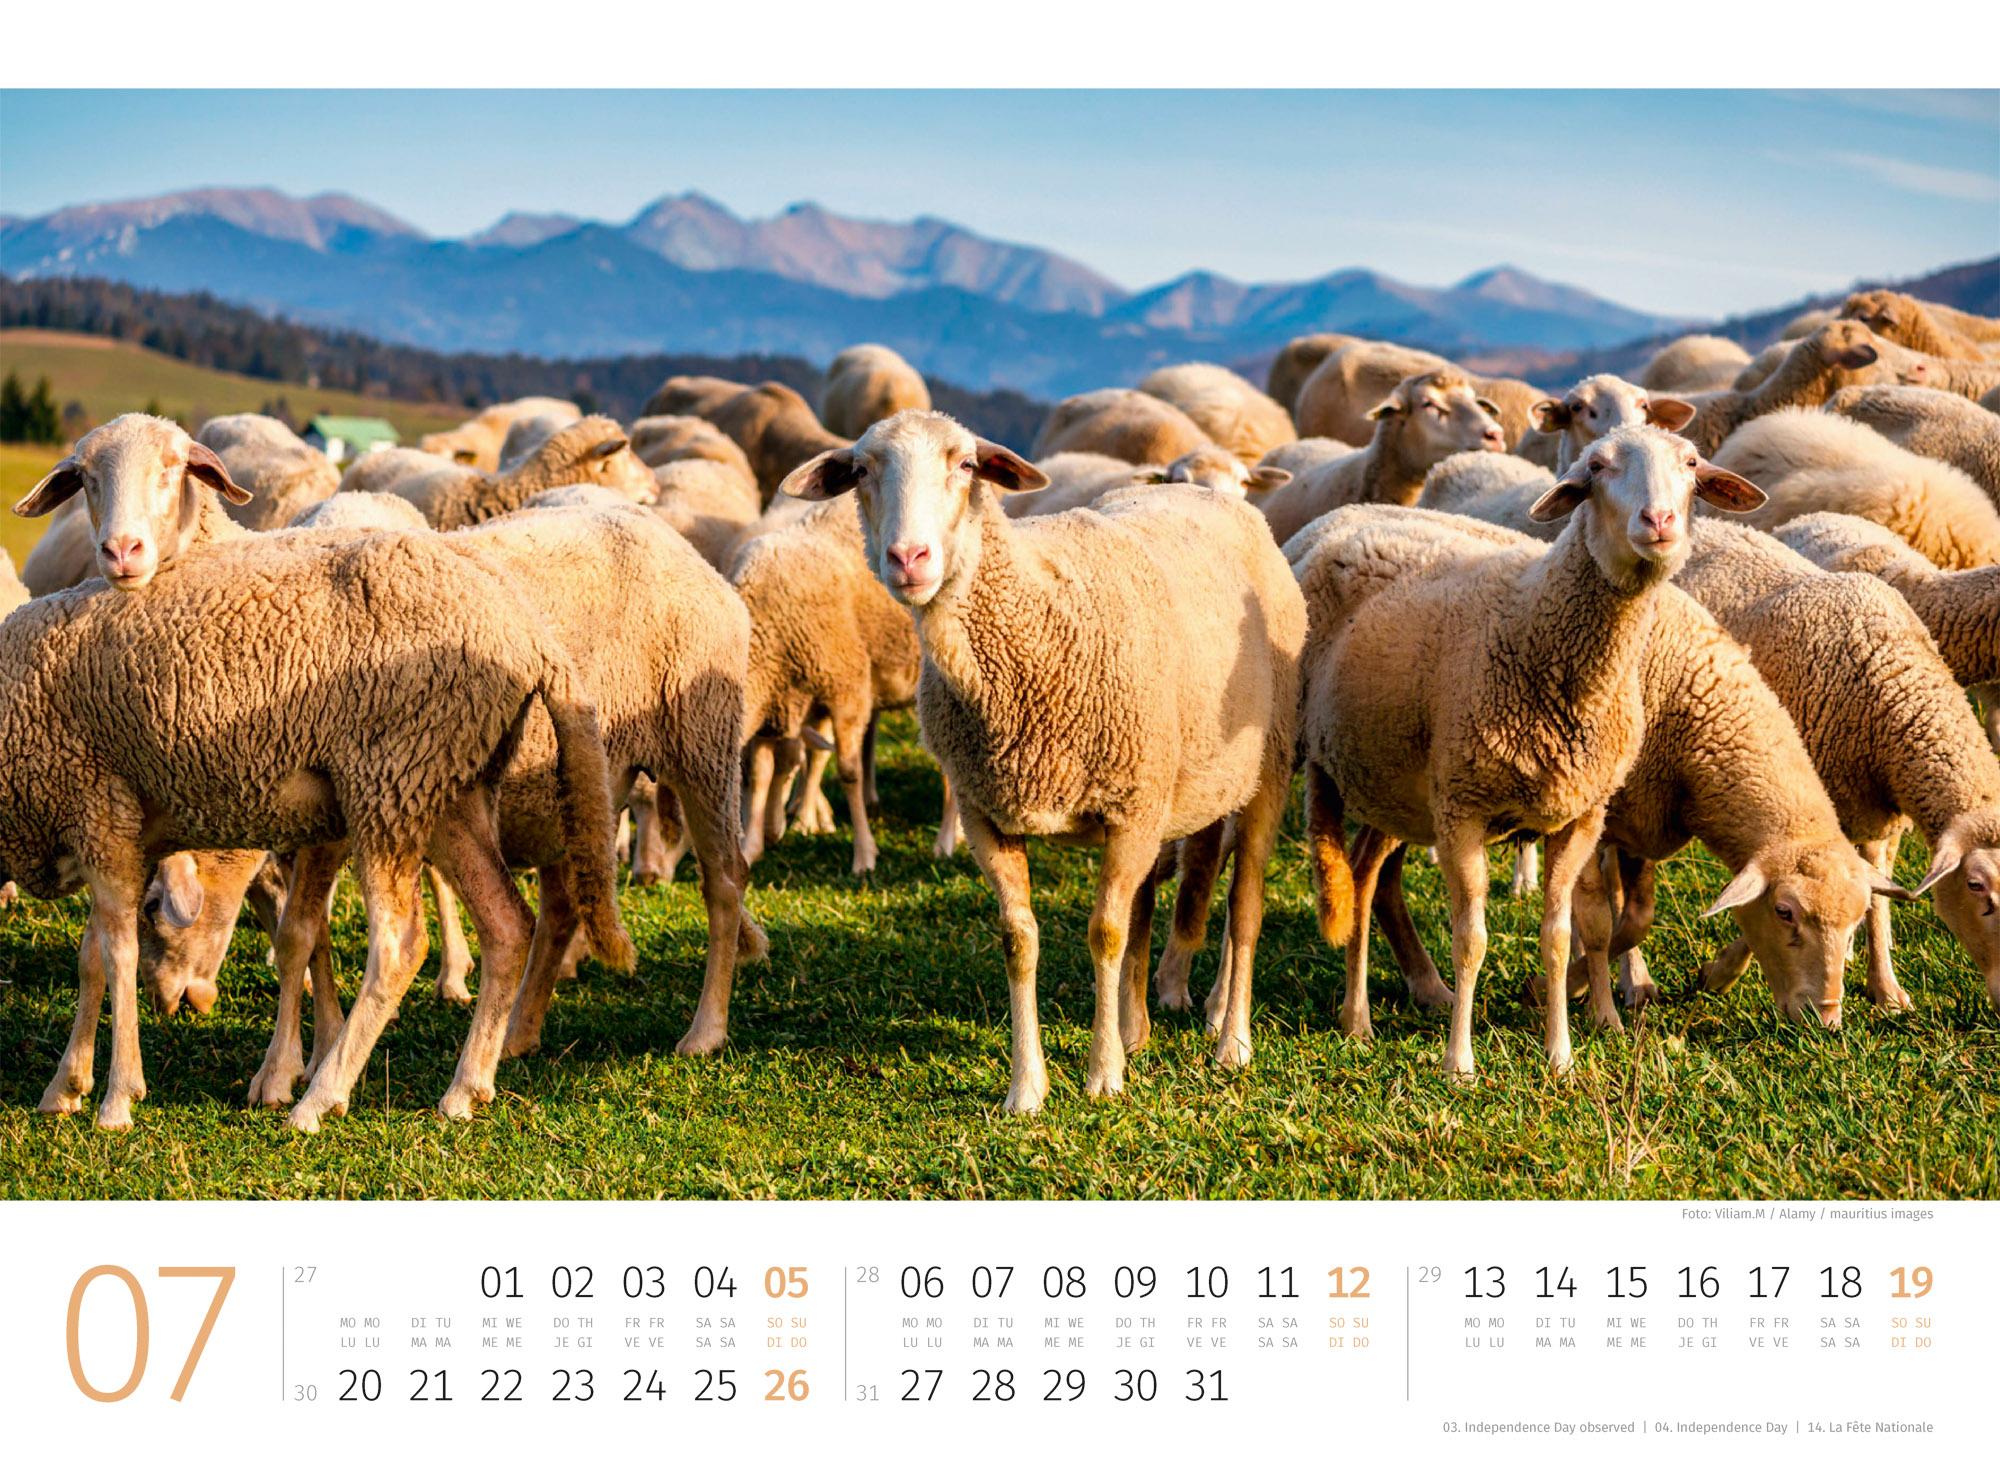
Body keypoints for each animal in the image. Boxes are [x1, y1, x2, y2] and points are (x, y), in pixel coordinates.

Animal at [0, 527, 633, 1130]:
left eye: (160, 910)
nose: (169, 1005)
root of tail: (527, 632)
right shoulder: (116, 831)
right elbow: (92, 956)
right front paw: (66, 1086)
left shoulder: (96, 807)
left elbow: (116, 956)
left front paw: (116, 1098)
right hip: (450, 784)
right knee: (507, 925)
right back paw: (464, 1090)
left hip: (389, 775)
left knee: (402, 946)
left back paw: (321, 1100)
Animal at [781, 410, 1306, 1110]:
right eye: (862, 471)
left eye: (966, 465)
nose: (908, 559)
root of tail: (1222, 500)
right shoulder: (987, 813)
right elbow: (1020, 939)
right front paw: (1028, 1086)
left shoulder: (1129, 807)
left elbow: (1104, 933)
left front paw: (1103, 1076)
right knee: (1144, 906)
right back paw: (1136, 1028)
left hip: (1264, 767)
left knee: (1243, 906)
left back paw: (1231, 1041)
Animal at [1294, 429, 1768, 1074]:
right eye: (1596, 467)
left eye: (1692, 464)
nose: (1659, 520)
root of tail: (1343, 517)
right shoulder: (1462, 810)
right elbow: (1471, 940)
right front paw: (1460, 1062)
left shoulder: (1580, 816)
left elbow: (1560, 936)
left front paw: (1560, 1055)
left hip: (1391, 778)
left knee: (1366, 876)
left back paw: (1360, 1016)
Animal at [1676, 520, 2000, 1011]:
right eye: (1977, 887)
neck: (1892, 676)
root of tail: (1710, 523)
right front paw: (1721, 971)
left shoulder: (1877, 817)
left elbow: (1875, 896)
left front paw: (1884, 988)